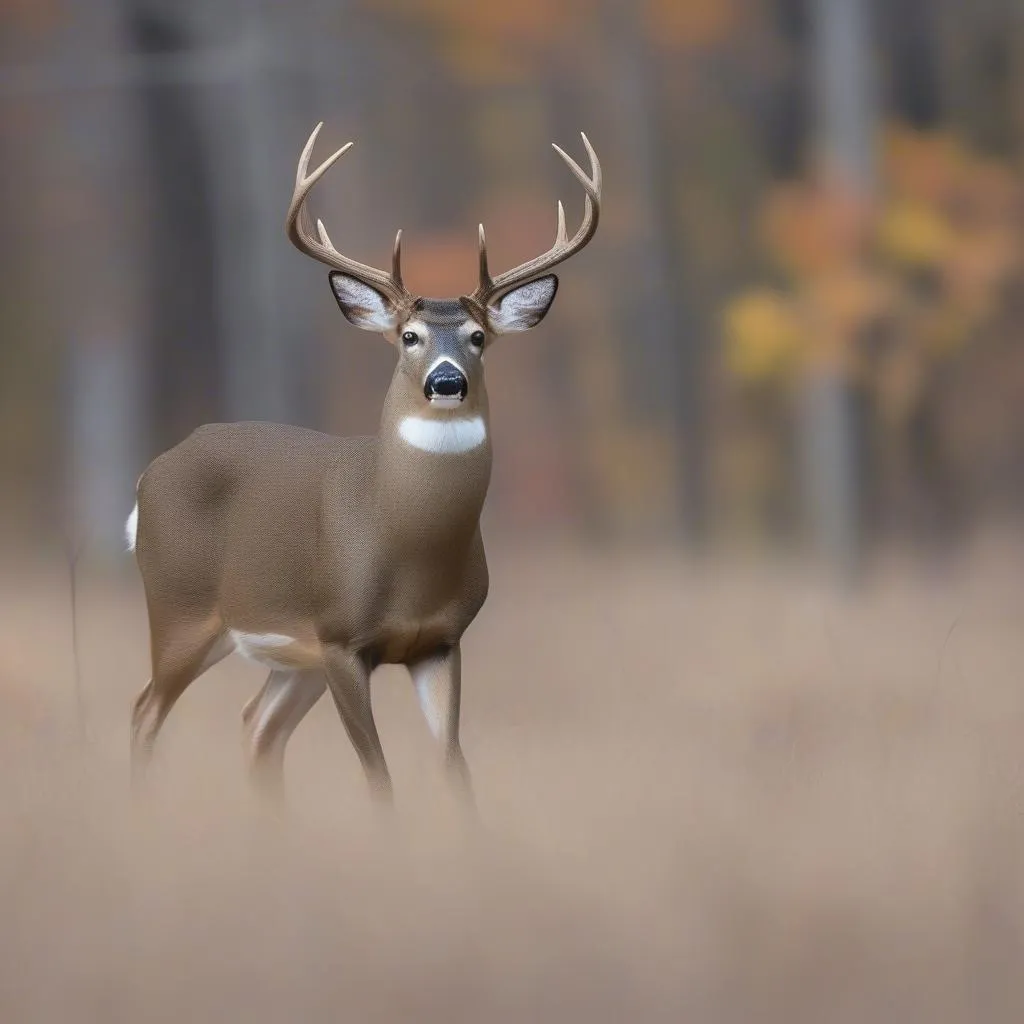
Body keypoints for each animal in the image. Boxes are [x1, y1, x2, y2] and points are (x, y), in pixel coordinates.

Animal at [124, 121, 598, 806]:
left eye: (479, 338)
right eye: (409, 337)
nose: (446, 381)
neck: (409, 550)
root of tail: (149, 475)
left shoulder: (440, 643)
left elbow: (455, 767)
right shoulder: (342, 637)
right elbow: (379, 776)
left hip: (291, 655)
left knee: (256, 724)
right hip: (180, 608)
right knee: (145, 712)